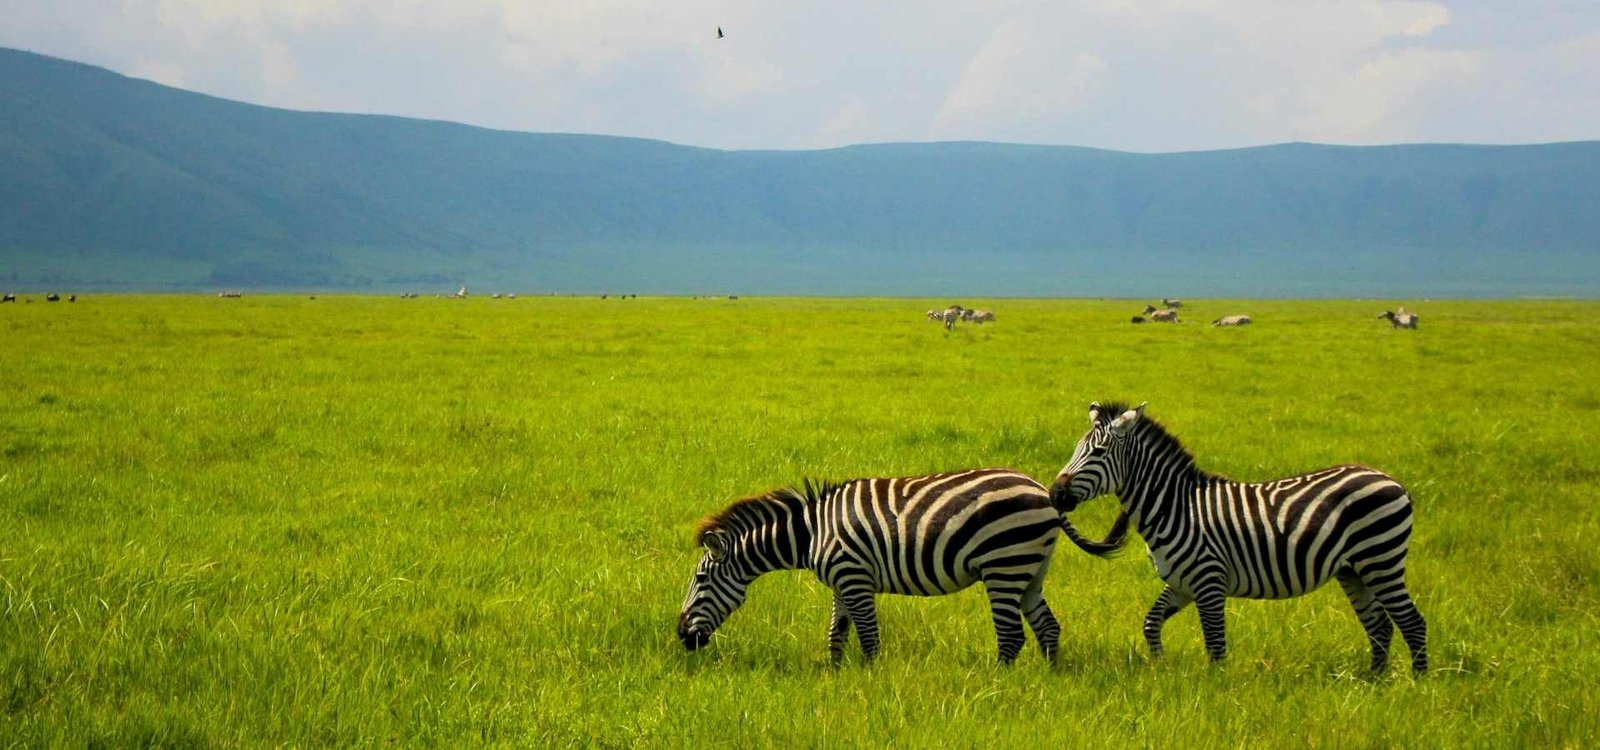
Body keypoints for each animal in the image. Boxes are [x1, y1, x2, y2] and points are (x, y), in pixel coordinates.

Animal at [678, 469, 1108, 665]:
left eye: (700, 578)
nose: (682, 636)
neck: (812, 532)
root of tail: (1042, 492)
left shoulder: (854, 577)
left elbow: (869, 637)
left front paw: (870, 679)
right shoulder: (841, 582)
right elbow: (837, 633)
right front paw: (832, 675)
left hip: (1004, 565)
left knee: (1011, 636)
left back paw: (999, 683)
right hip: (1030, 569)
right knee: (1048, 627)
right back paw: (1047, 678)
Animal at [1049, 401, 1428, 673]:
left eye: (1098, 453)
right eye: (1075, 448)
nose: (1055, 494)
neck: (1176, 506)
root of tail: (1392, 480)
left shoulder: (1209, 580)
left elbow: (1216, 644)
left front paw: (1217, 690)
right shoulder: (1182, 582)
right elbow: (1151, 622)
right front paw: (1160, 666)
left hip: (1381, 560)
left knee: (1412, 623)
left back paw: (1416, 683)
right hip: (1354, 570)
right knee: (1380, 626)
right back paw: (1374, 682)